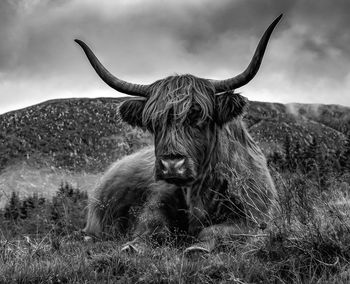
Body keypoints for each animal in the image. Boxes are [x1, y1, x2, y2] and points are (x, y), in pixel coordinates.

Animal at [76, 14, 282, 254]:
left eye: (199, 116)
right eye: (153, 122)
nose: (172, 165)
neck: (199, 194)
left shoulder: (255, 218)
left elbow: (218, 230)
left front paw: (197, 248)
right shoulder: (156, 201)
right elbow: (153, 225)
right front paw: (133, 247)